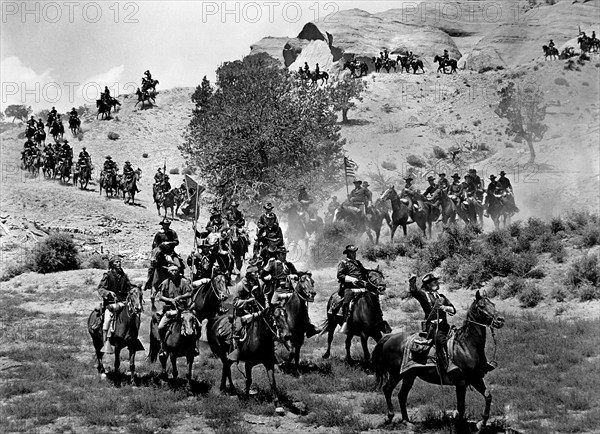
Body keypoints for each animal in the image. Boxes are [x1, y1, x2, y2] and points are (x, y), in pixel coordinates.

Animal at [372, 290, 504, 428]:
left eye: (493, 304)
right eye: (482, 306)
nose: (500, 320)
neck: (466, 345)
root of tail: (389, 338)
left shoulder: (475, 378)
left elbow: (488, 396)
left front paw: (482, 423)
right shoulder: (461, 382)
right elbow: (461, 407)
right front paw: (461, 426)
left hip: (409, 375)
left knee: (402, 395)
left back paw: (407, 421)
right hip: (396, 374)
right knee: (387, 389)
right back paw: (390, 417)